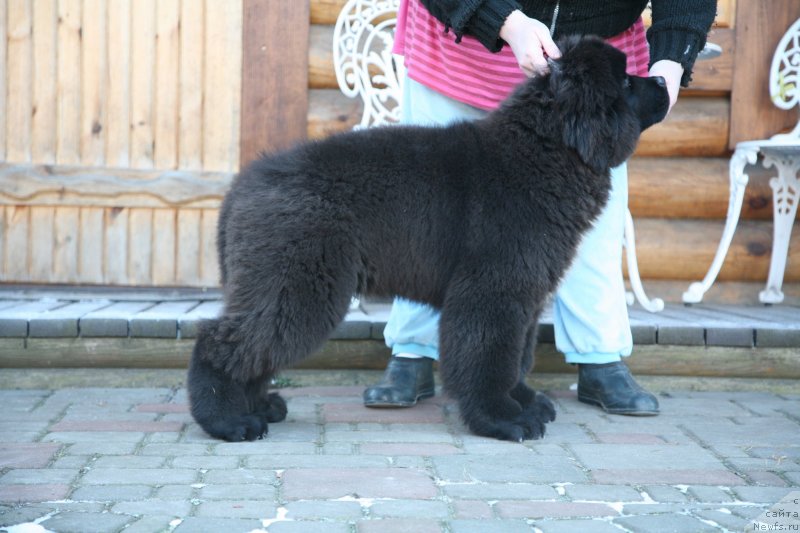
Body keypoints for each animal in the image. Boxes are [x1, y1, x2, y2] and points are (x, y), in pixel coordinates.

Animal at [188, 36, 668, 440]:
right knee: (222, 342)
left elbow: (517, 357)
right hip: (297, 284)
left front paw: (524, 402)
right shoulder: (492, 290)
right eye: (627, 81)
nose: (665, 79)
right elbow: (489, 357)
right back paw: (228, 421)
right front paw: (503, 419)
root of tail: (241, 187)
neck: (547, 150)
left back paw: (259, 407)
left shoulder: (526, 293)